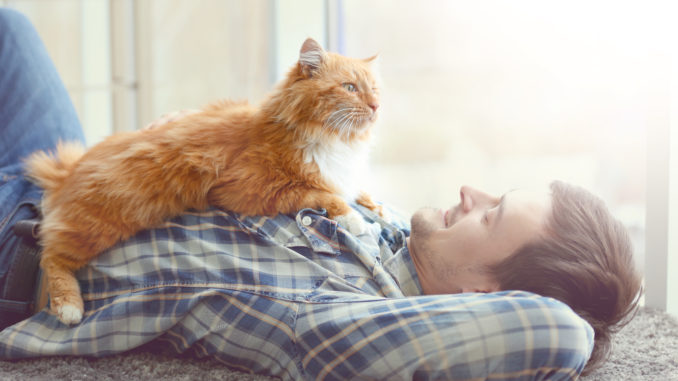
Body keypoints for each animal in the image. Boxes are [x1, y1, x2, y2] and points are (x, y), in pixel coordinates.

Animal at [25, 37, 382, 324]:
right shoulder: (252, 188)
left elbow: (355, 190)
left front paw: (373, 206)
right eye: (350, 88)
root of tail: (68, 170)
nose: (377, 106)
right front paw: (355, 220)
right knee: (51, 255)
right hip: (100, 224)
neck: (333, 140)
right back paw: (69, 308)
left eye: (375, 89)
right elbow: (321, 193)